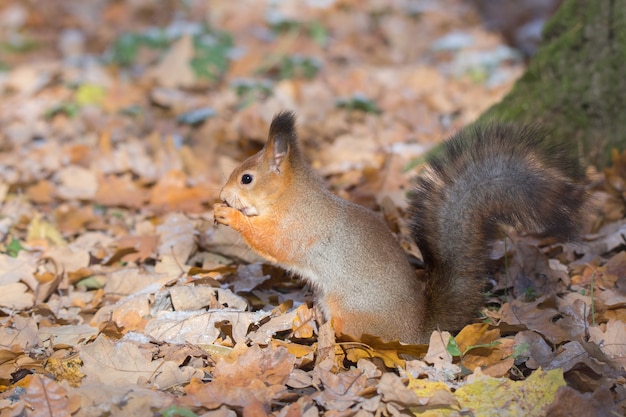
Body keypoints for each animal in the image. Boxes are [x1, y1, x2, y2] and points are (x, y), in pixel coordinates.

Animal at [212, 110, 584, 342]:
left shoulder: (295, 228)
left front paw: (229, 216)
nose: (222, 194)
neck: (291, 197)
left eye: (247, 178)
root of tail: (419, 332)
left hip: (352, 310)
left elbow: (271, 241)